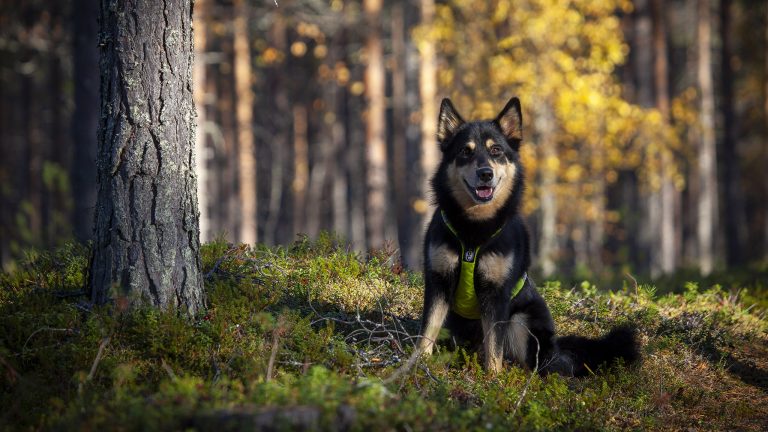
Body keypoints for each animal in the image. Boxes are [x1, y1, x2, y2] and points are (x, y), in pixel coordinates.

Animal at [416, 97, 640, 374]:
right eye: (465, 152)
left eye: (496, 150)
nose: (485, 173)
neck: (474, 230)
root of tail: (557, 349)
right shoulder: (438, 282)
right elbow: (427, 332)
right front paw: (416, 367)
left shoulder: (497, 294)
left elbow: (495, 345)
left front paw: (493, 378)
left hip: (523, 321)